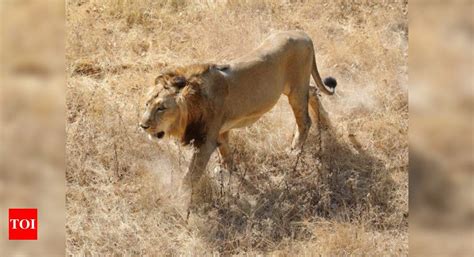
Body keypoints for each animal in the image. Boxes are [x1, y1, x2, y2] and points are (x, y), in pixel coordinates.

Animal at [139, 30, 336, 186]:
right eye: (147, 104)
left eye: (161, 108)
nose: (143, 126)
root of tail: (303, 34)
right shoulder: (220, 132)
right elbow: (226, 153)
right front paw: (228, 172)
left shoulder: (206, 142)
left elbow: (190, 178)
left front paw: (180, 203)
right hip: (297, 87)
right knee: (314, 91)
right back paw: (327, 125)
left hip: (296, 89)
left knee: (305, 120)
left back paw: (294, 151)